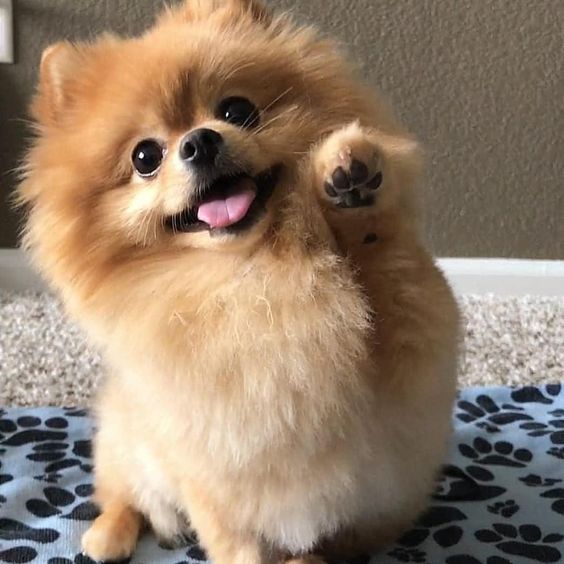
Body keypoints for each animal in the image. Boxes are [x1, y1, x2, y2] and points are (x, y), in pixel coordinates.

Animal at [18, 1, 458, 564]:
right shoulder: (214, 482)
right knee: (123, 493)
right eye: (145, 157)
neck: (255, 273)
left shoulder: (416, 350)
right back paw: (107, 536)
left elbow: (387, 270)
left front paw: (350, 185)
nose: (201, 140)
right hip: (124, 439)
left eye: (236, 111)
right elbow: (237, 543)